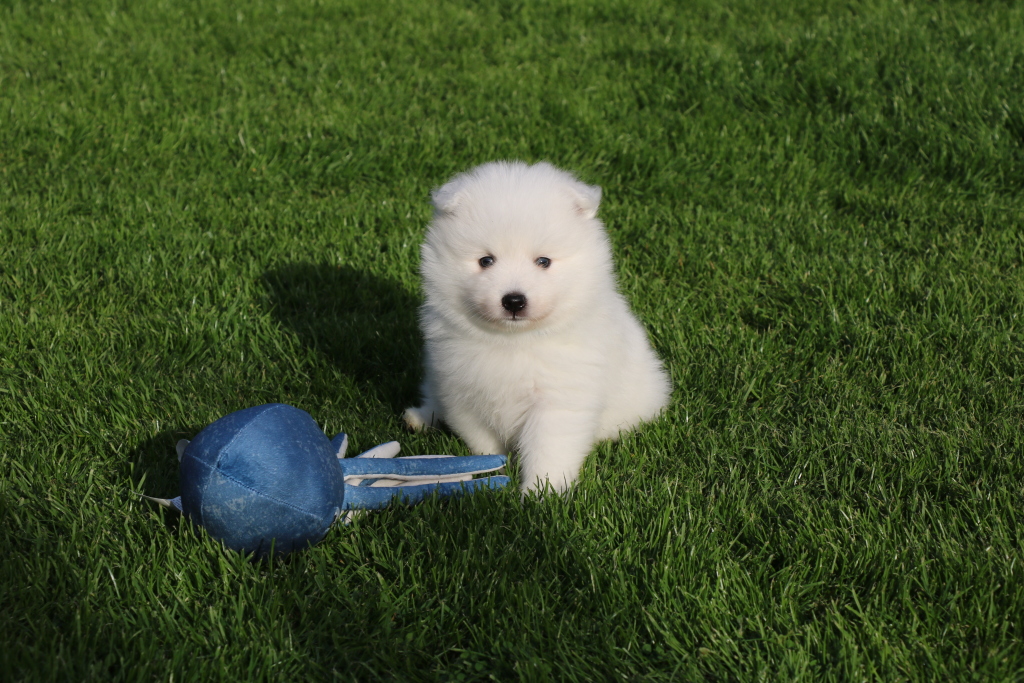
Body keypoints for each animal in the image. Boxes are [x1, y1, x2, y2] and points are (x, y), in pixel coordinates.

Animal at [403, 161, 670, 493]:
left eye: (543, 261)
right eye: (486, 260)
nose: (514, 300)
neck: (514, 340)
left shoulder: (560, 399)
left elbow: (548, 449)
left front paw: (542, 494)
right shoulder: (462, 391)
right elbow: (482, 441)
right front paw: (493, 466)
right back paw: (418, 418)